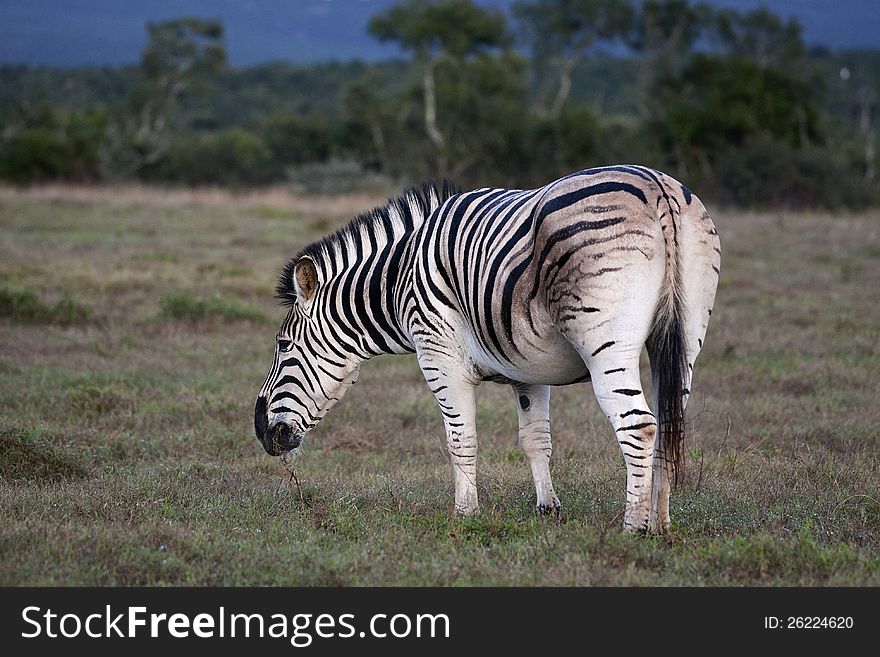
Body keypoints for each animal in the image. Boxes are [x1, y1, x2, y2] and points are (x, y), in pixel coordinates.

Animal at [254, 165, 720, 532]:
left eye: (283, 345)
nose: (262, 432)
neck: (398, 281)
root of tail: (657, 186)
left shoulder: (438, 355)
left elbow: (460, 438)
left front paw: (464, 513)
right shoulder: (529, 369)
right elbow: (536, 439)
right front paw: (548, 509)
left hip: (605, 340)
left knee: (639, 425)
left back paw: (634, 527)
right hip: (684, 337)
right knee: (669, 424)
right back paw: (661, 524)